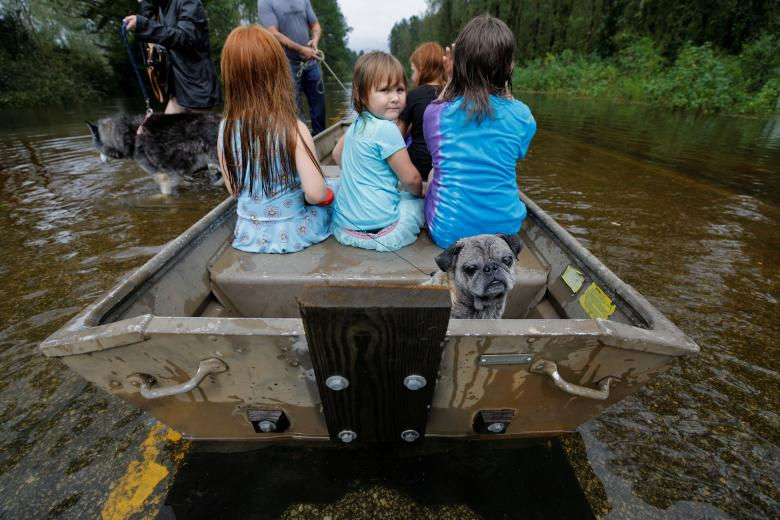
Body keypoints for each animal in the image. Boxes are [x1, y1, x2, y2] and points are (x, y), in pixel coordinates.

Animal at [87, 111, 224, 195]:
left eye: (97, 148)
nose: (102, 162)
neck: (130, 135)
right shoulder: (175, 172)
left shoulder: (160, 174)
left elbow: (164, 193)